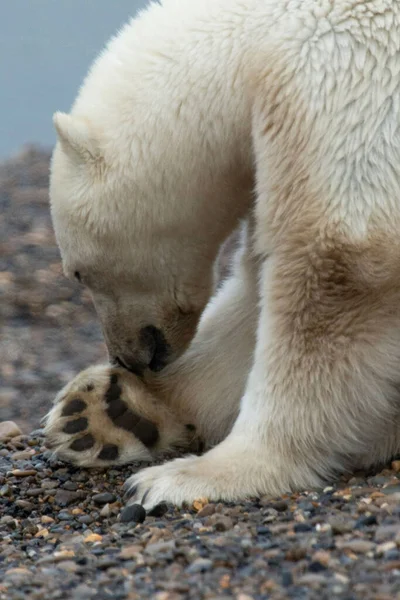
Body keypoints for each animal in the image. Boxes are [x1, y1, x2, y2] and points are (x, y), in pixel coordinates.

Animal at [44, 0, 400, 510]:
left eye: (78, 273)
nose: (127, 358)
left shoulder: (345, 84)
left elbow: (334, 272)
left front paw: (199, 474)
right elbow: (254, 286)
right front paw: (108, 411)